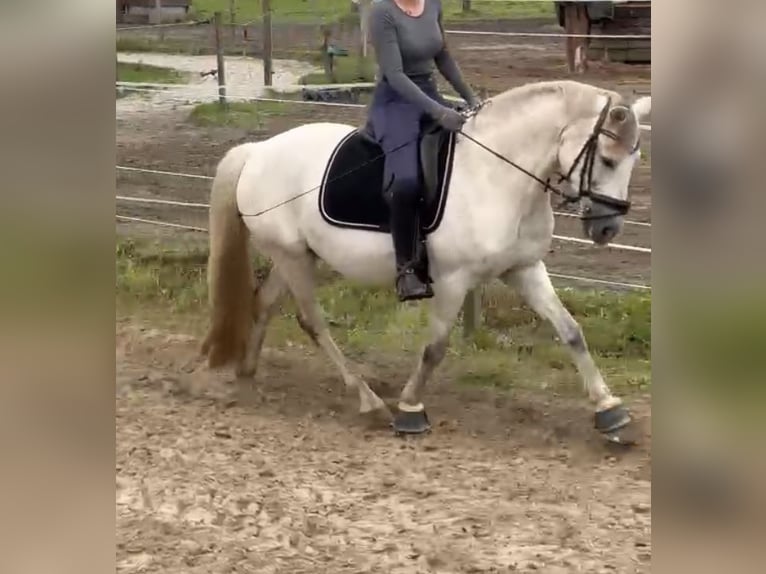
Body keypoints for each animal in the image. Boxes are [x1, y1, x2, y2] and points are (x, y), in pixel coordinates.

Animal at [200, 79, 651, 443]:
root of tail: (258, 151)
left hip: (294, 255)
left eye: (634, 160)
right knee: (312, 321)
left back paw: (247, 373)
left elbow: (571, 332)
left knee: (264, 303)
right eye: (607, 159)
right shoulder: (453, 279)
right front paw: (410, 410)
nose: (608, 228)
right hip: (292, 257)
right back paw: (369, 401)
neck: (496, 173)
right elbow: (435, 348)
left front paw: (609, 410)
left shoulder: (523, 269)